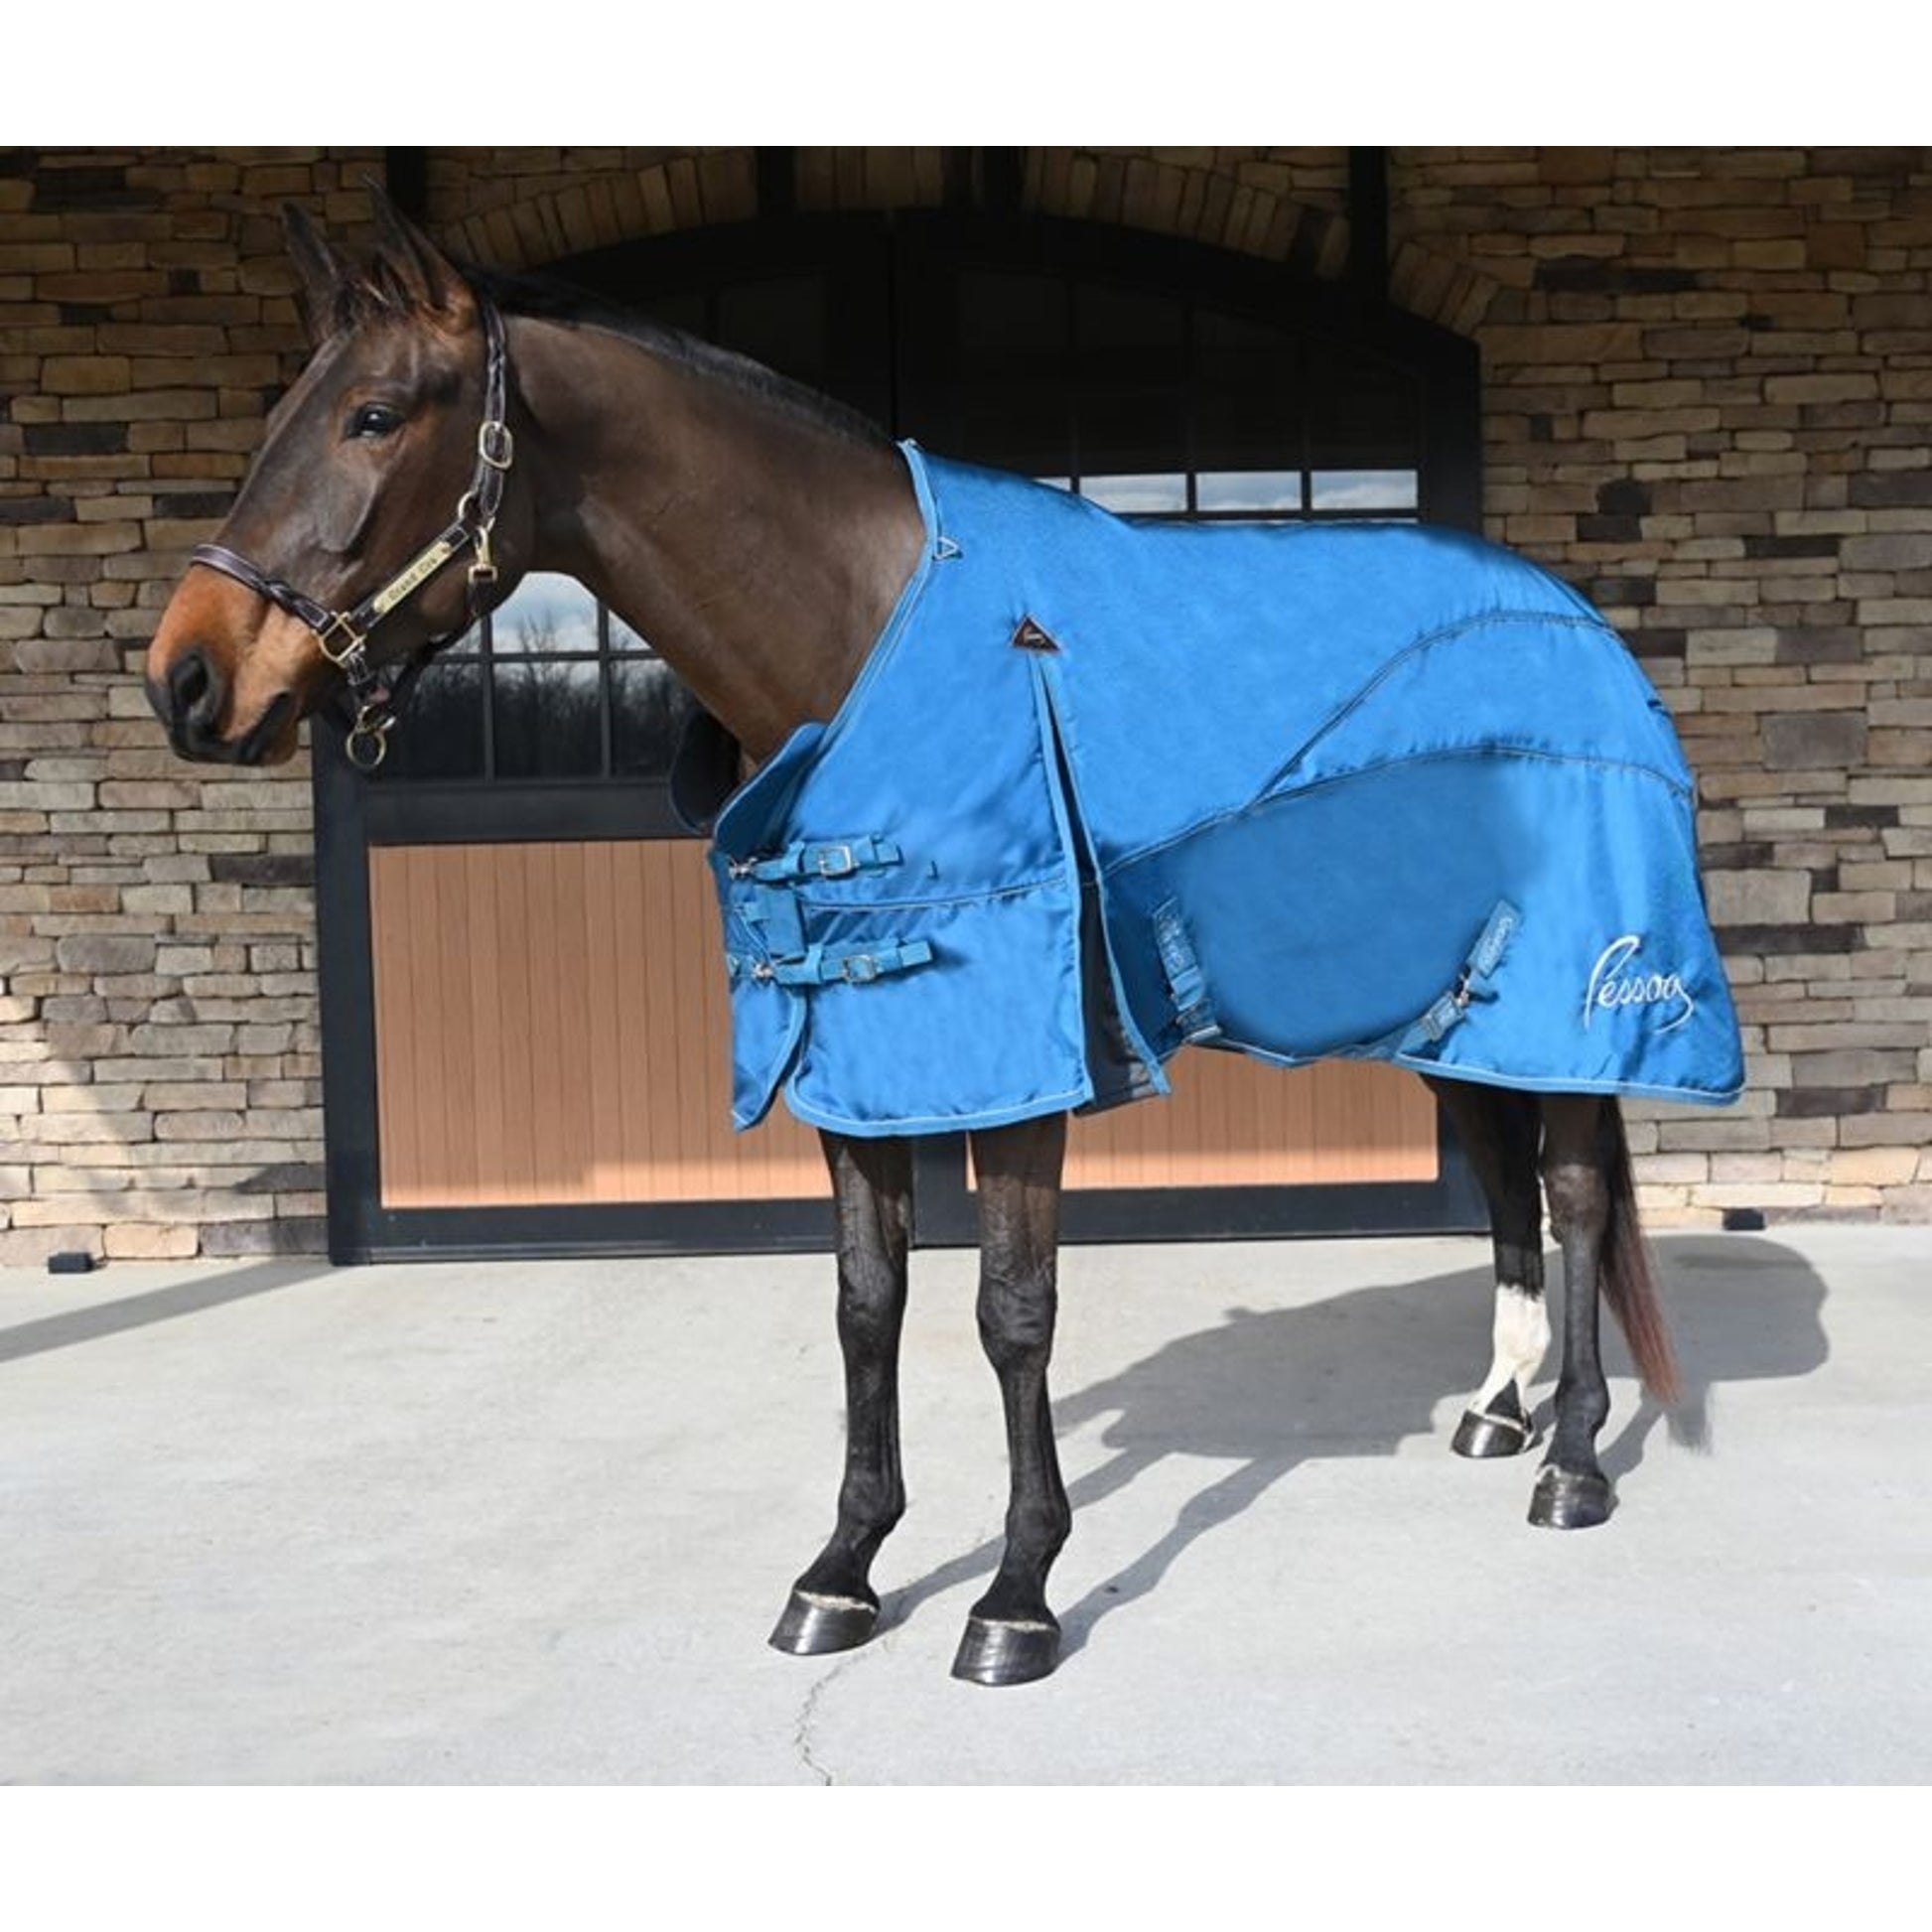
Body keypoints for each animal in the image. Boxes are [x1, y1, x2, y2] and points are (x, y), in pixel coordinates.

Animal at [146, 197, 1724, 1687]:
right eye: (279, 414)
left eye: (372, 415)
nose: (187, 678)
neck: (860, 634)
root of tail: (1577, 622)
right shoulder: (857, 1054)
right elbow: (869, 1306)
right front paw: (841, 1571)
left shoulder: (1017, 1058)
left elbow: (1009, 1312)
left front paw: (1014, 1595)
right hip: (1452, 1004)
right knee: (1504, 1179)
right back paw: (1495, 1414)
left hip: (1579, 990)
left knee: (1572, 1190)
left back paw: (1573, 1462)